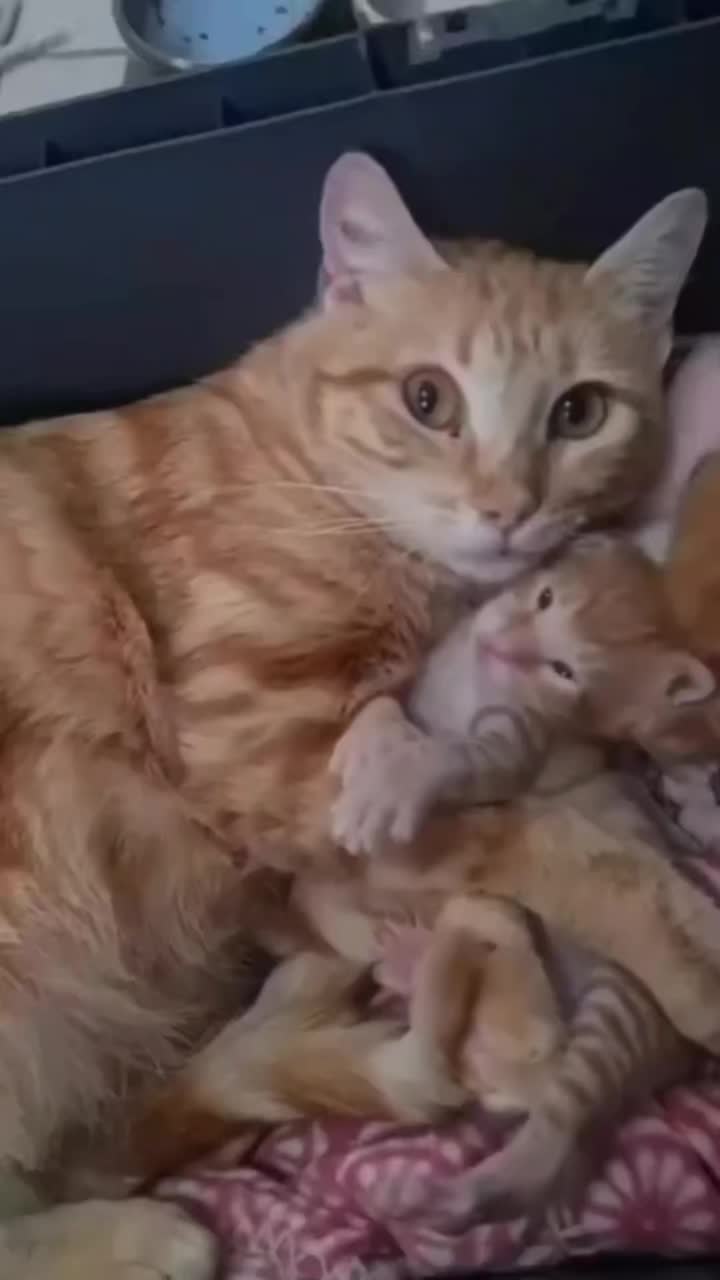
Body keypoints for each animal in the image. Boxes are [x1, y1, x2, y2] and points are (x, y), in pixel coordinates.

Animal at [0, 154, 712, 1274]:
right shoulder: (265, 755)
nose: (507, 510)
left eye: (580, 412)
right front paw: (680, 949)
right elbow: (552, 842)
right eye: (428, 399)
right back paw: (147, 1235)